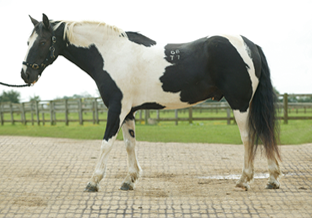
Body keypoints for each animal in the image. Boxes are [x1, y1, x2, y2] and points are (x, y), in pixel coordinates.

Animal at [20, 13, 282, 192]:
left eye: (42, 42)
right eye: (27, 42)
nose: (26, 74)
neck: (112, 54)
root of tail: (250, 45)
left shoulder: (116, 108)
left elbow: (106, 144)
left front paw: (93, 182)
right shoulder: (128, 111)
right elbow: (129, 144)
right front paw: (129, 180)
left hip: (240, 104)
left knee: (249, 137)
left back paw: (244, 180)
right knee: (263, 133)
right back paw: (272, 179)